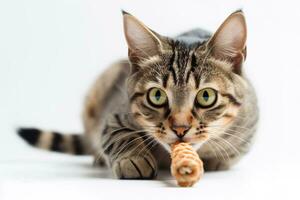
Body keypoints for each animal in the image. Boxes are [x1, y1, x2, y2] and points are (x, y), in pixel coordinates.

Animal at [18, 10, 258, 180]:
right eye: (157, 96)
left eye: (206, 96)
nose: (180, 128)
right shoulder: (115, 113)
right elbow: (119, 135)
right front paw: (133, 158)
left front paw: (215, 160)